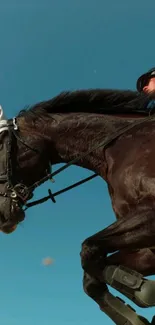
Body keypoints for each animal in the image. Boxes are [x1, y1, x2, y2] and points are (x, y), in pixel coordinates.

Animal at [0, 88, 155, 324]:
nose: (1, 213)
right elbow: (92, 276)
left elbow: (89, 250)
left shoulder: (150, 215)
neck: (118, 146)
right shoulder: (147, 250)